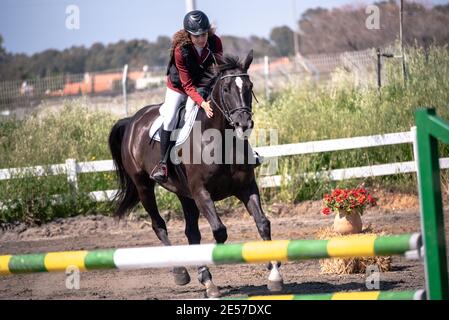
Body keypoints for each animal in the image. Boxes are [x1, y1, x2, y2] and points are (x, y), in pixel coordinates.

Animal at [107, 50, 282, 298]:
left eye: (249, 86)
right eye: (226, 89)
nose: (244, 124)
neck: (220, 139)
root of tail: (132, 121)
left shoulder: (246, 187)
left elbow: (263, 223)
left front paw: (274, 271)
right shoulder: (201, 192)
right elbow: (219, 231)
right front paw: (206, 272)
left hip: (184, 193)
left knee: (191, 232)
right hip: (144, 187)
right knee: (159, 225)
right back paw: (182, 272)